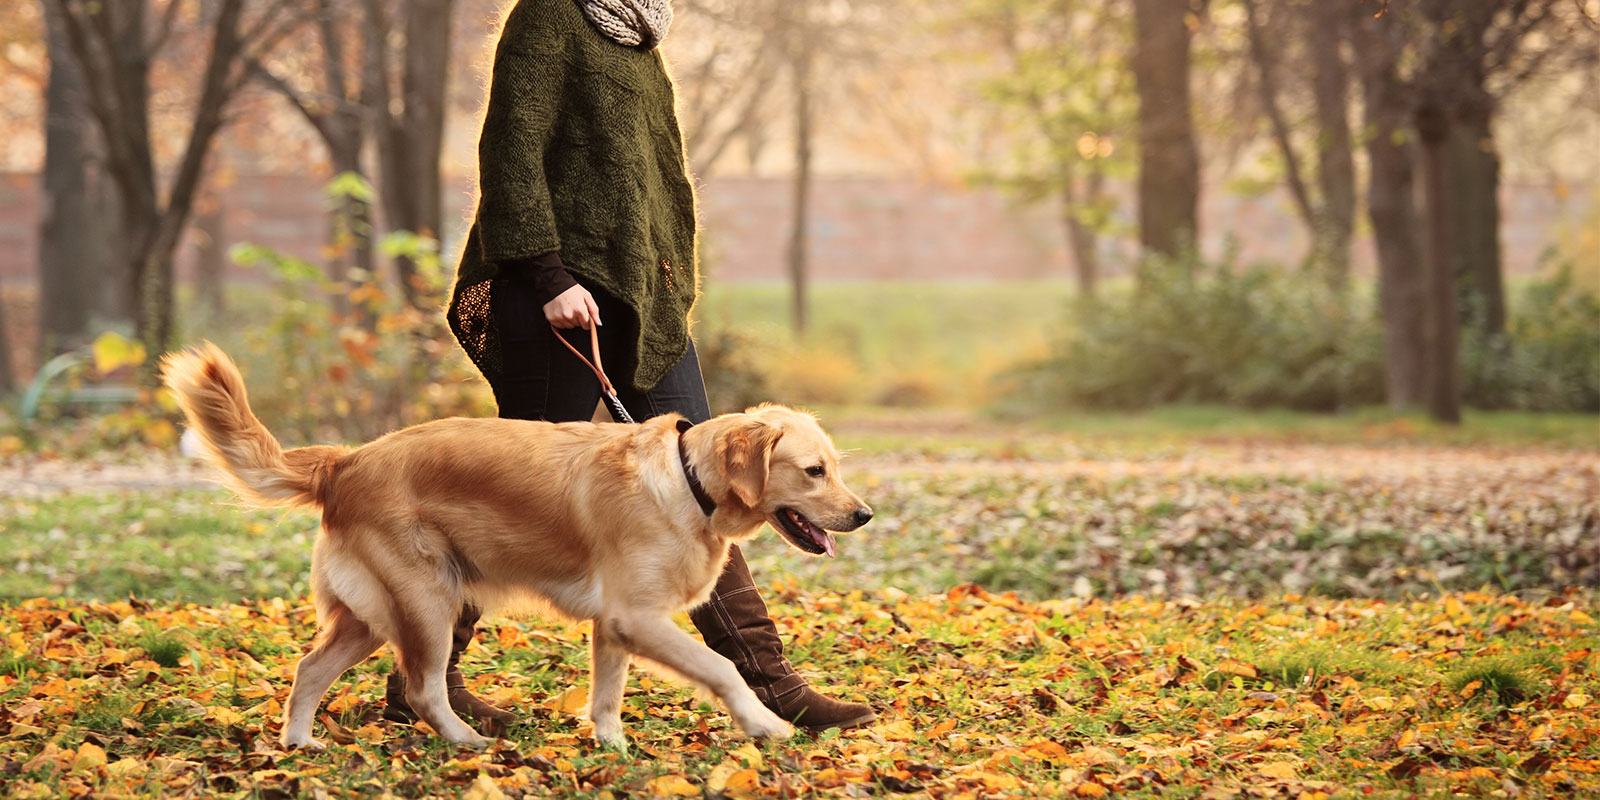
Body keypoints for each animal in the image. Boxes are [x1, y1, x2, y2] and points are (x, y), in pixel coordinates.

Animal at [159, 342, 876, 748]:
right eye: (815, 471)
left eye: (835, 466)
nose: (864, 514)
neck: (688, 481)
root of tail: (346, 460)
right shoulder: (635, 616)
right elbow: (722, 667)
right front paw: (765, 724)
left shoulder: (613, 626)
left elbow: (607, 694)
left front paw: (611, 746)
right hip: (425, 600)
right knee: (422, 688)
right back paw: (465, 740)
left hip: (371, 613)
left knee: (310, 669)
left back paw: (300, 745)